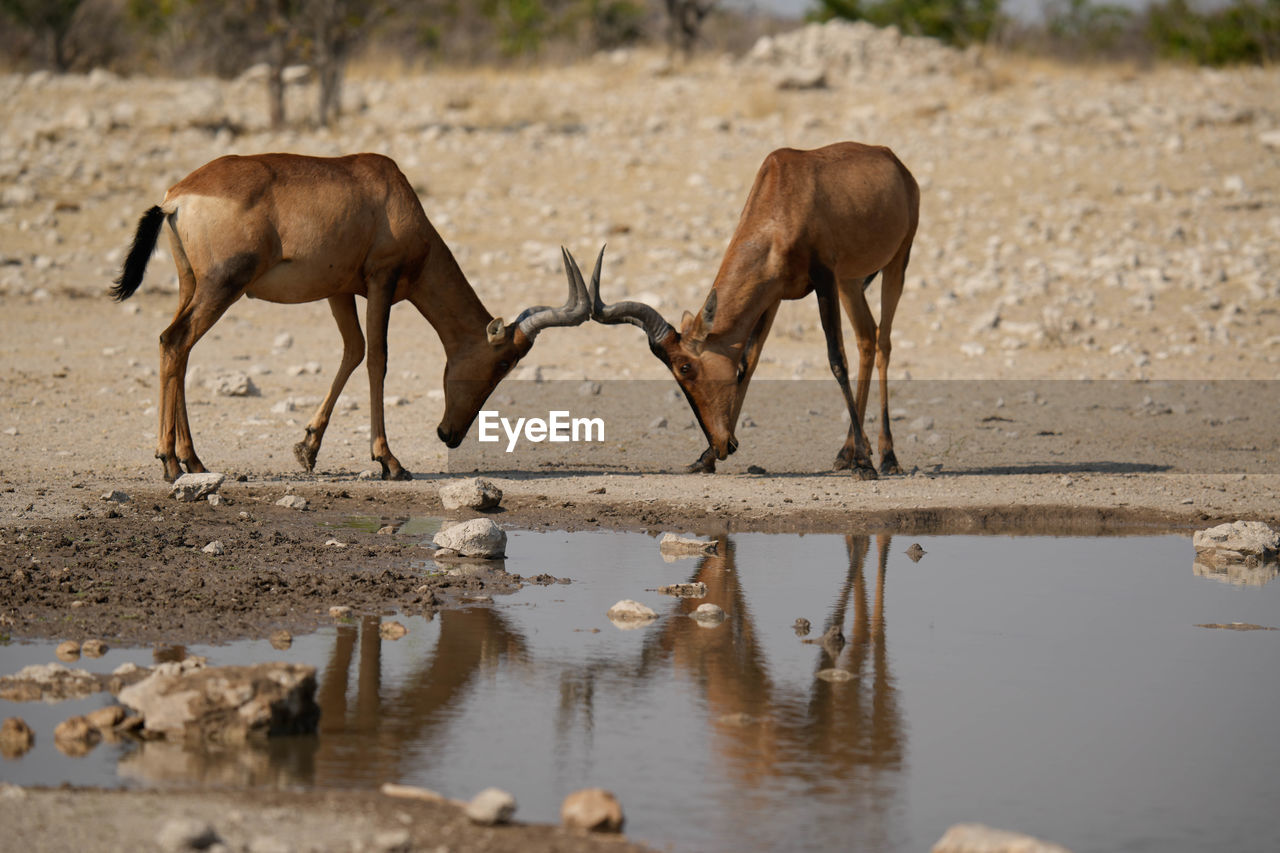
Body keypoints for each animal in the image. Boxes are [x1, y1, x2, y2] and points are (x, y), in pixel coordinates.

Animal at [112, 151, 596, 479]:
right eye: (503, 363)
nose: (449, 435)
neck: (389, 190)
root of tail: (176, 198)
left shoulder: (340, 291)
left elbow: (354, 351)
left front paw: (307, 448)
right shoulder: (382, 279)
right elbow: (379, 358)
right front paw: (390, 461)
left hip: (191, 283)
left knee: (177, 349)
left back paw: (192, 460)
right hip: (222, 286)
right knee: (175, 341)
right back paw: (172, 463)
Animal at [588, 144, 921, 479]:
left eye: (684, 367)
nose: (721, 443)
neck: (782, 195)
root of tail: (892, 159)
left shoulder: (824, 277)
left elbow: (836, 360)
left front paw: (865, 465)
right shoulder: (773, 295)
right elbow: (748, 363)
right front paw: (706, 458)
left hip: (896, 261)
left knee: (883, 343)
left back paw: (886, 457)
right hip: (849, 280)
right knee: (866, 338)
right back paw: (846, 453)